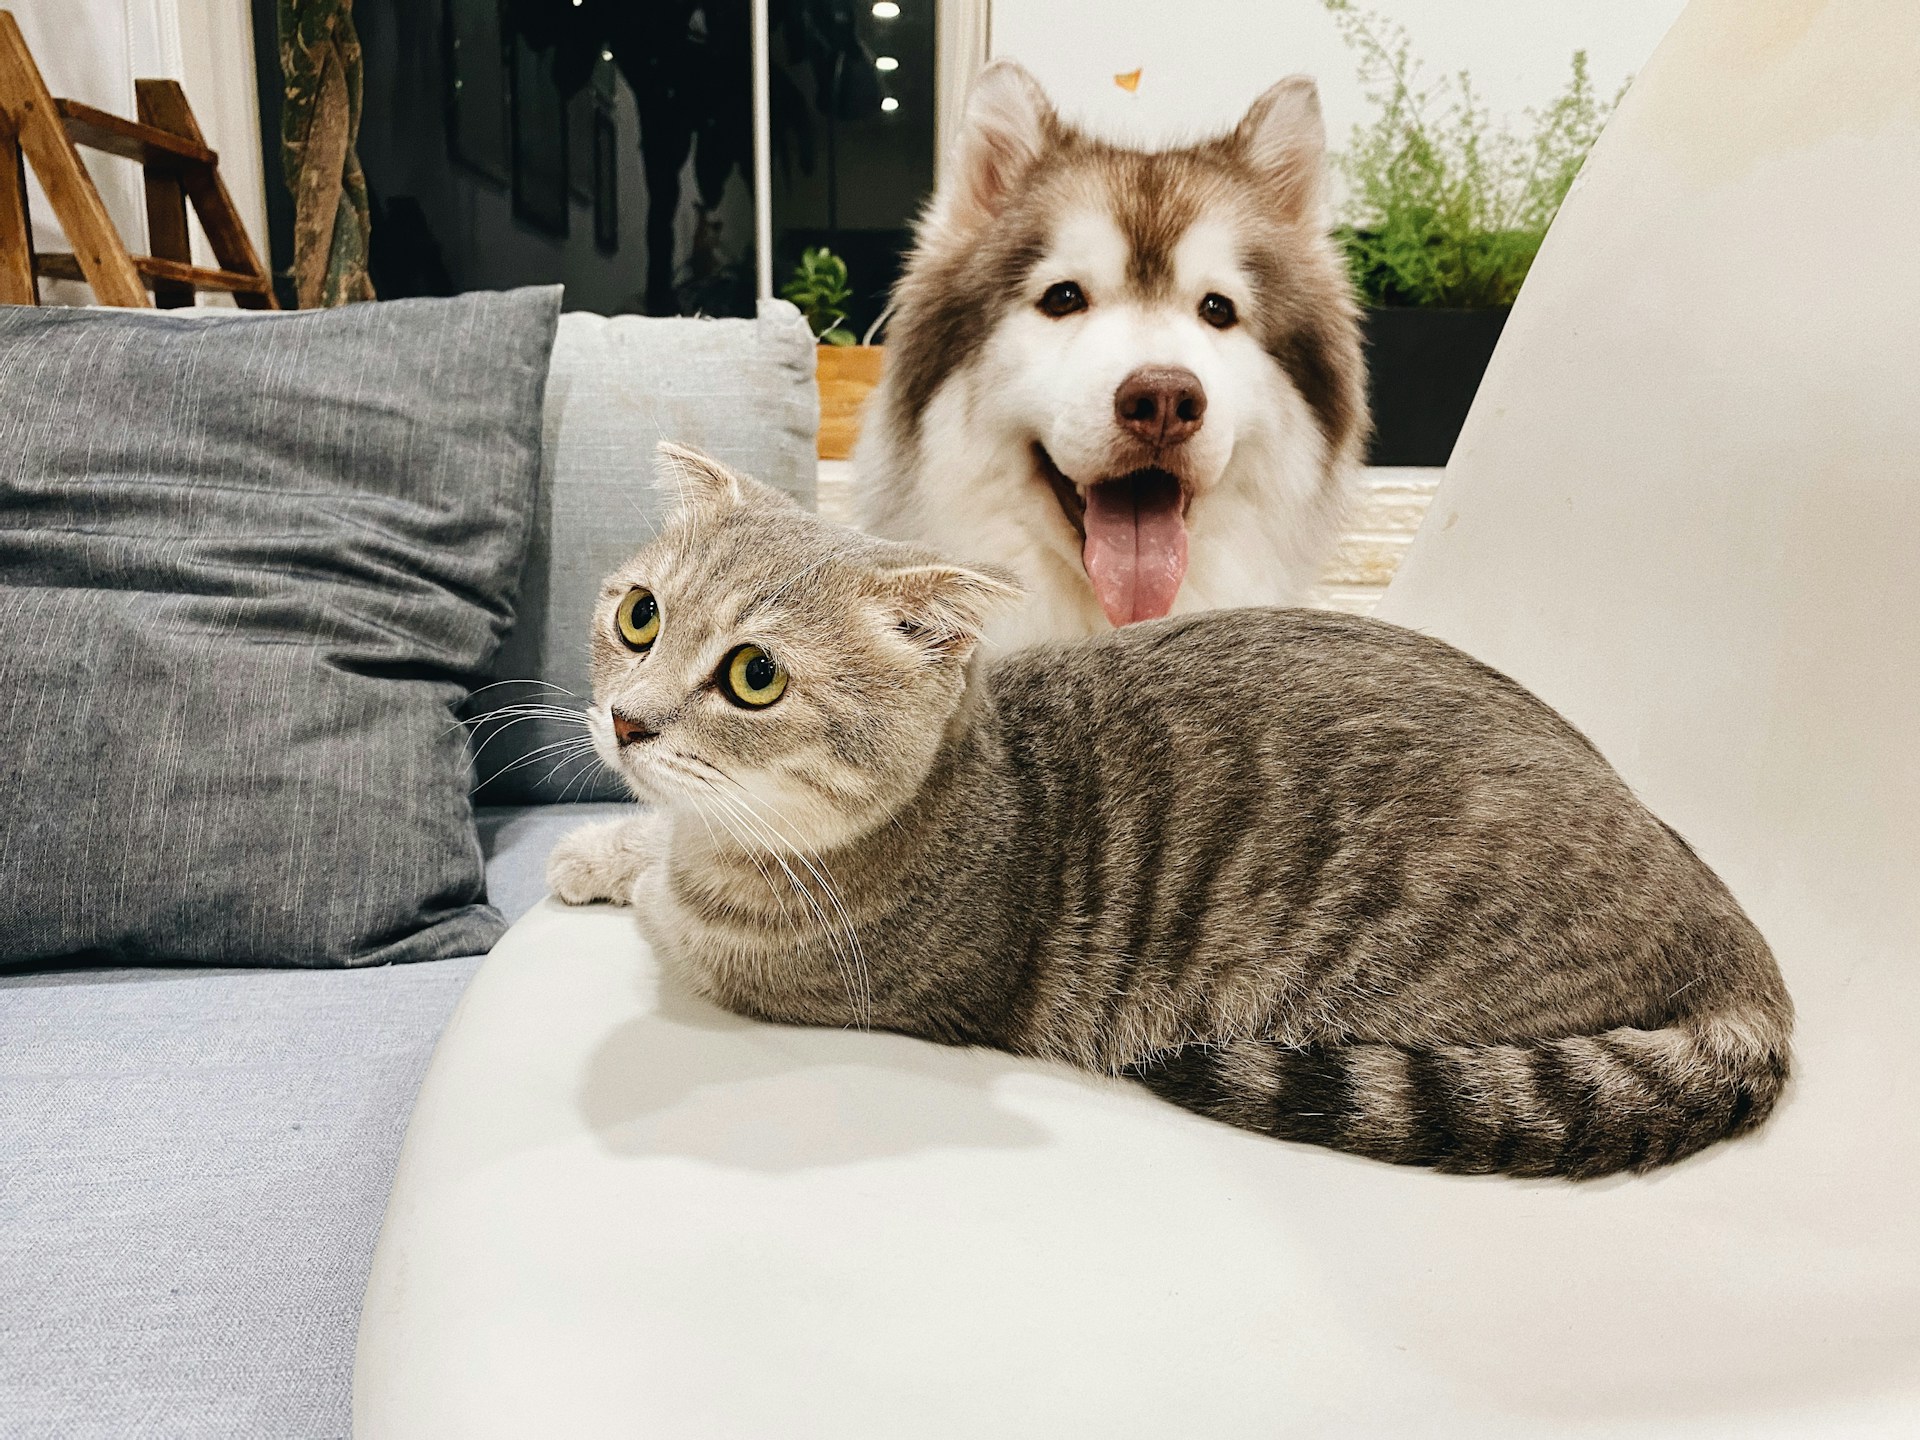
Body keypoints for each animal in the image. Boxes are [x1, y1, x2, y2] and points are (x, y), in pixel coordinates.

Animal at [549, 445, 1789, 1175]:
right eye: (641, 615)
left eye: (754, 677)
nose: (628, 722)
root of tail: (1733, 935)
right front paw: (597, 847)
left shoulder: (767, 973)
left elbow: (668, 899)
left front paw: (627, 863)